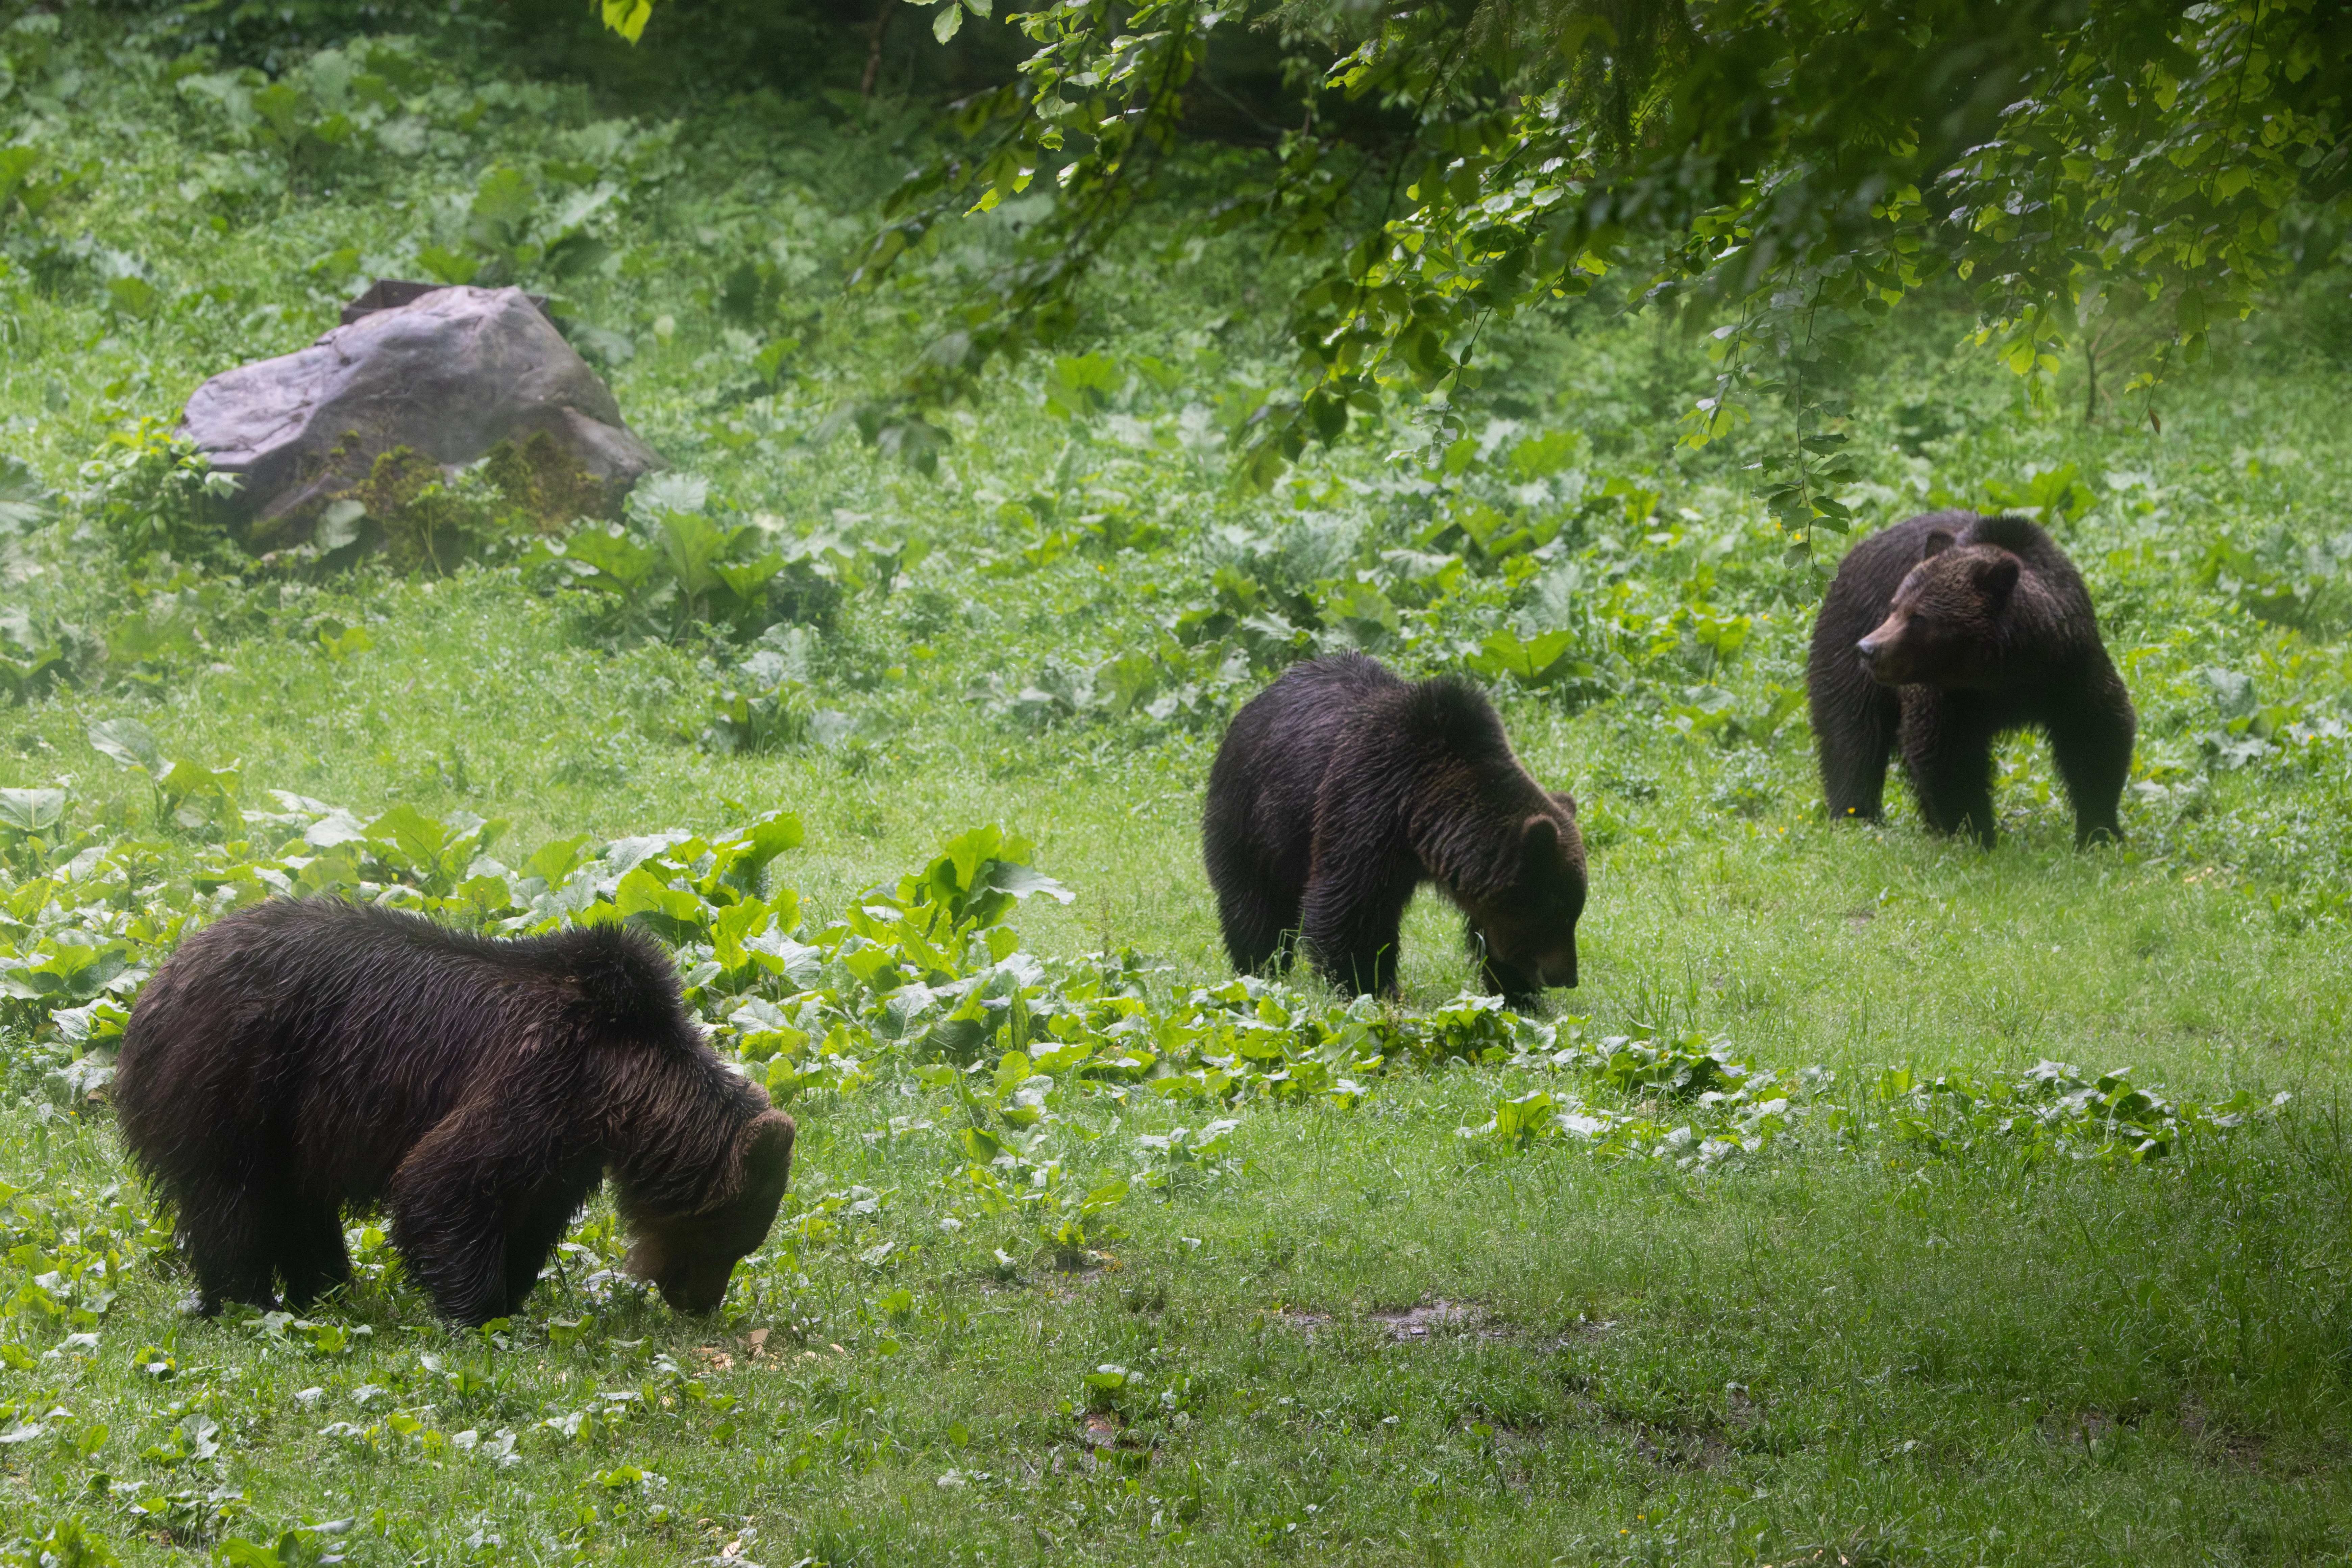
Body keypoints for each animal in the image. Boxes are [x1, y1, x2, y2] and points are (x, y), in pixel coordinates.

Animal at [114, 898, 794, 1327]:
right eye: (728, 1240)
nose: (701, 1304)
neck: (618, 1085)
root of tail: (157, 979)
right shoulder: (536, 1078)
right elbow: (444, 1180)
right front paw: (477, 1312)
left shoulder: (567, 1144)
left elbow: (530, 1214)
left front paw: (511, 1292)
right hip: (231, 1076)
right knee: (230, 1198)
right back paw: (247, 1301)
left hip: (290, 1115)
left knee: (300, 1204)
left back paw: (326, 1288)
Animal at [1202, 653, 1586, 1007]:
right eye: (1560, 912)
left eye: (1573, 911)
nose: (1567, 977)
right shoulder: (1367, 804)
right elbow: (1348, 906)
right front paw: (1368, 984)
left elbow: (1489, 929)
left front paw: (1516, 991)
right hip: (1255, 813)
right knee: (1256, 902)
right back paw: (1259, 968)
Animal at [1807, 509, 2136, 848]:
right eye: (1895, 606)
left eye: (1918, 617)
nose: (1869, 649)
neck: (2000, 672)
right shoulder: (1945, 696)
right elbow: (1948, 757)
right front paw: (1976, 834)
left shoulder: (2069, 672)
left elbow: (2096, 736)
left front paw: (2099, 832)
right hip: (1846, 640)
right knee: (1852, 735)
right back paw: (1856, 818)